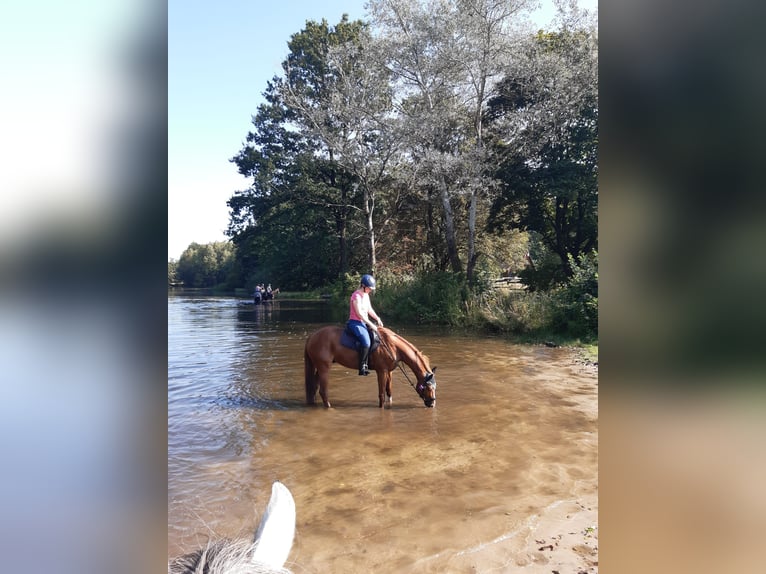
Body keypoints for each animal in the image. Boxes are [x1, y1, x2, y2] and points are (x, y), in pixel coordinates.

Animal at [304, 328, 438, 410]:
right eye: (428, 387)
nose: (432, 403)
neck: (392, 346)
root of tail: (312, 336)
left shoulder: (389, 372)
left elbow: (389, 392)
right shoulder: (381, 371)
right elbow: (381, 394)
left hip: (319, 367)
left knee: (314, 388)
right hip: (324, 368)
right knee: (323, 391)